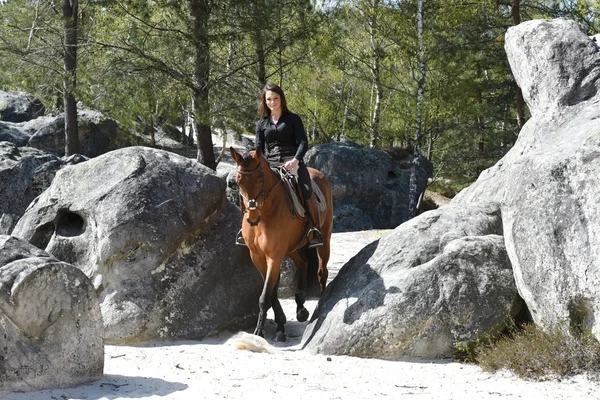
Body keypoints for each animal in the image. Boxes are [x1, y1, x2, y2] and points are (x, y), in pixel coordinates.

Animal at [229, 147, 332, 340]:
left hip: (325, 240)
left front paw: (260, 330)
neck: (265, 215)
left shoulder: (274, 256)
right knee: (303, 264)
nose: (252, 217)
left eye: (260, 179)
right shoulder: (258, 257)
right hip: (292, 248)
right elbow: (271, 292)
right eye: (238, 181)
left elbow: (265, 296)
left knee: (322, 272)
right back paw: (301, 309)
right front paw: (280, 326)